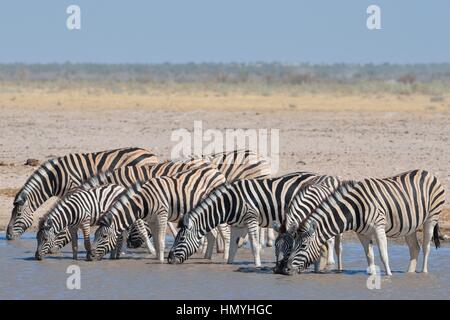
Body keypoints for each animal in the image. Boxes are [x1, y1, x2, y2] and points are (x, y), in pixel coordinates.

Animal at [90, 165, 229, 262]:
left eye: (104, 236)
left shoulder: (162, 214)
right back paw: (207, 257)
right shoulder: (151, 220)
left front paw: (161, 262)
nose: (90, 255)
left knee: (226, 233)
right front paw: (157, 258)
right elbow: (156, 241)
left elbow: (161, 241)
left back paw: (225, 258)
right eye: (95, 235)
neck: (144, 201)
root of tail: (218, 171)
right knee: (213, 234)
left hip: (218, 207)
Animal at [166, 171, 326, 266]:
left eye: (181, 239)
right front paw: (229, 264)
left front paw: (258, 265)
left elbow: (254, 245)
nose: (169, 259)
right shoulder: (238, 225)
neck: (228, 203)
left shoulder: (251, 218)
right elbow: (233, 246)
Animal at [284, 169, 444, 276]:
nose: (286, 269)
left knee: (426, 247)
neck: (356, 209)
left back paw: (423, 273)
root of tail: (427, 172)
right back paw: (409, 274)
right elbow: (369, 255)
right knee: (414, 248)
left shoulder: (379, 227)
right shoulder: (362, 233)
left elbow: (383, 254)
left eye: (303, 246)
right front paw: (372, 275)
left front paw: (389, 276)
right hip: (409, 225)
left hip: (431, 218)